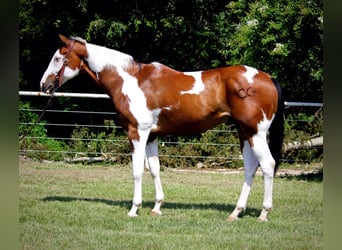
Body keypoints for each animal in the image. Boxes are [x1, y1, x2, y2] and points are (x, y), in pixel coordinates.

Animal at [40, 34, 284, 222]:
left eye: (58, 58)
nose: (44, 85)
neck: (130, 80)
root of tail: (268, 78)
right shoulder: (152, 136)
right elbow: (154, 169)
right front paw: (157, 207)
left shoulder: (137, 133)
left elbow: (137, 170)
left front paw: (134, 209)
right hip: (244, 133)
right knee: (251, 168)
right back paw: (236, 212)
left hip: (256, 133)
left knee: (267, 165)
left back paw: (263, 213)